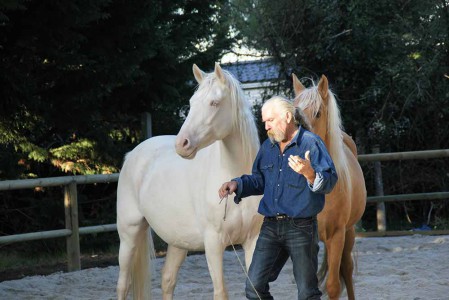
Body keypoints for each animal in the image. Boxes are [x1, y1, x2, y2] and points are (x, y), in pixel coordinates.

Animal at [115, 62, 262, 298]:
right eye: (191, 103)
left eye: (214, 102)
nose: (181, 144)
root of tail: (132, 155)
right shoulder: (213, 243)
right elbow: (220, 292)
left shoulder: (253, 240)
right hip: (129, 233)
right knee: (123, 284)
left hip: (177, 241)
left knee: (168, 280)